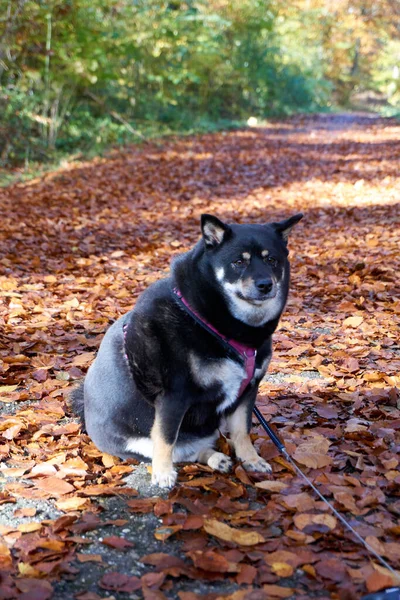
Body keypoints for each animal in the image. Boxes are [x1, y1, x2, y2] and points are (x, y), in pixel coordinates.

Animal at [71, 214, 304, 488]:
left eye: (272, 260)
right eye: (238, 262)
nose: (265, 284)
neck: (212, 322)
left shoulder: (248, 390)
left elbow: (241, 431)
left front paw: (250, 459)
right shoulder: (174, 395)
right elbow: (166, 438)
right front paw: (162, 473)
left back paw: (218, 457)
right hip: (135, 442)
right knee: (180, 451)